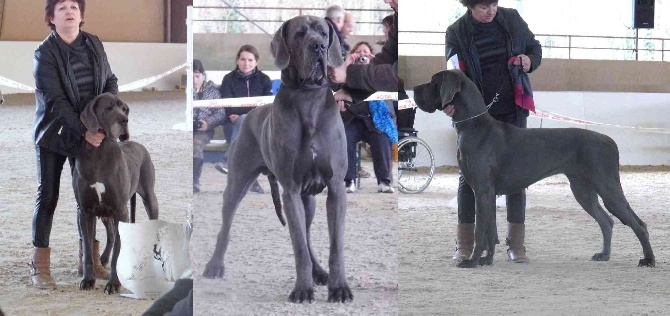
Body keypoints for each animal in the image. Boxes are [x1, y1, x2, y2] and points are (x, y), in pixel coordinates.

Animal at [202, 15, 354, 304]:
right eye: (299, 34)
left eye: (323, 33)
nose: (318, 47)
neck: (307, 97)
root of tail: (249, 115)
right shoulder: (291, 190)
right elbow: (299, 248)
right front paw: (302, 289)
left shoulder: (335, 187)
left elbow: (336, 246)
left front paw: (339, 287)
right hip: (238, 183)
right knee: (225, 227)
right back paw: (214, 266)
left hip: (309, 199)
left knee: (307, 234)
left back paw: (320, 273)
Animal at [414, 69, 656, 270]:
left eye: (433, 82)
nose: (414, 89)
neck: (474, 126)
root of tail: (610, 141)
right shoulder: (487, 192)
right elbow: (490, 229)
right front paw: (487, 260)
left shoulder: (482, 189)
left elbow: (480, 230)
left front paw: (472, 262)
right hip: (583, 190)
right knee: (607, 220)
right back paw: (604, 255)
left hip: (607, 186)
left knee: (639, 224)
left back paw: (648, 259)